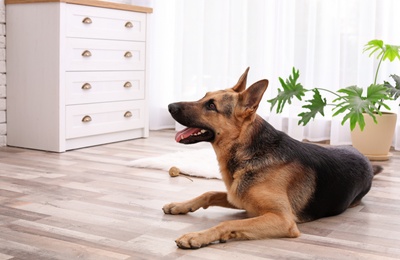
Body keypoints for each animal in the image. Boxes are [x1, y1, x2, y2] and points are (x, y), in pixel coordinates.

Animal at [162, 68, 382, 249]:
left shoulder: (282, 220)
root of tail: (366, 161)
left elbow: (228, 222)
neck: (249, 152)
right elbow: (208, 193)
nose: (170, 106)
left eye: (211, 105)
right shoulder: (239, 198)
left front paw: (197, 236)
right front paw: (180, 206)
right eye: (205, 96)